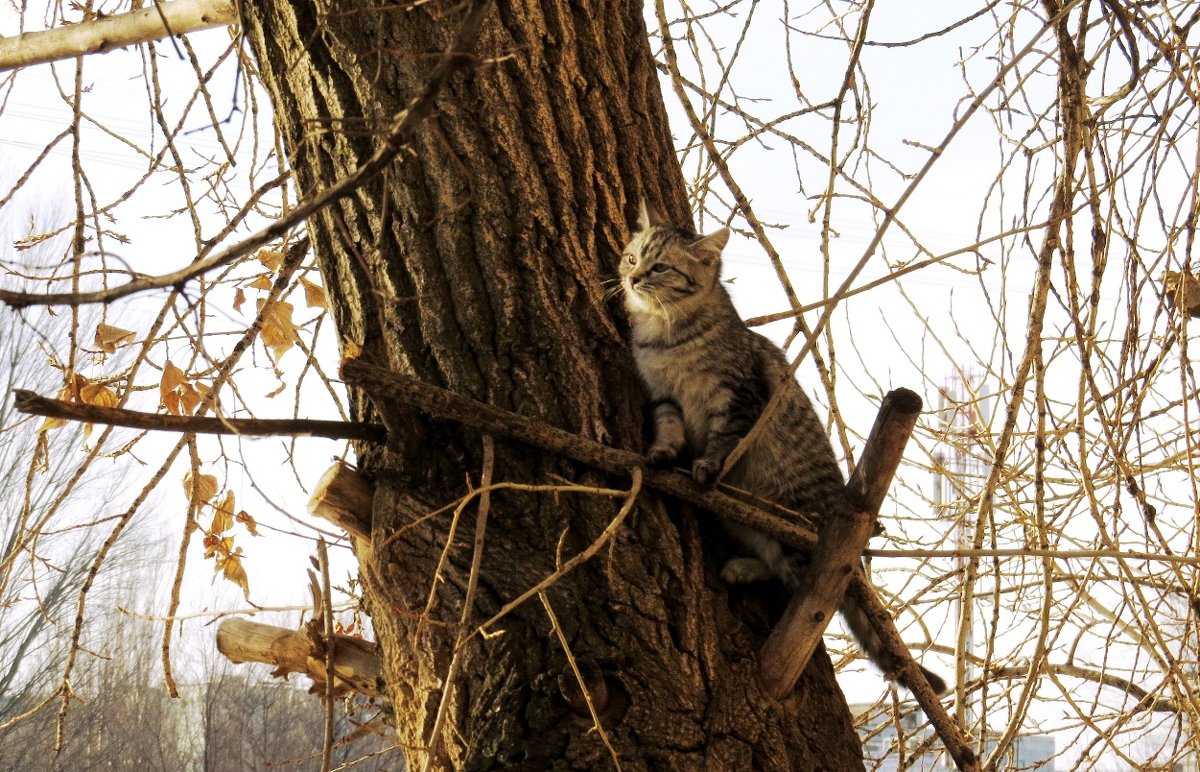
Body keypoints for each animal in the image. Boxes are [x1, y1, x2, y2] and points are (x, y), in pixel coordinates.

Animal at [619, 199, 945, 696]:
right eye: (632, 257)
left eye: (660, 267)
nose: (633, 278)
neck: (666, 336)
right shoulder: (663, 396)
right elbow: (669, 427)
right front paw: (663, 453)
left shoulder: (737, 398)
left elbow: (723, 440)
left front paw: (707, 465)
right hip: (748, 523)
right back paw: (741, 567)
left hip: (796, 525)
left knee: (805, 589)